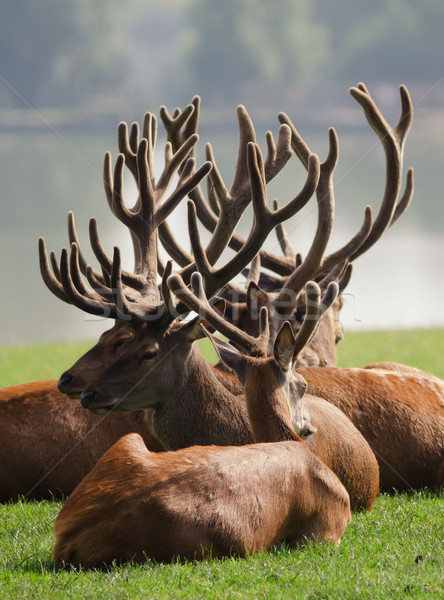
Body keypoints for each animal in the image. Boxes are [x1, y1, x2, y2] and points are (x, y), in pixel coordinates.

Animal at [53, 284, 350, 568]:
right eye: (303, 385)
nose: (310, 427)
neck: (291, 442)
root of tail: (68, 539)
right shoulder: (327, 527)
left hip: (128, 442)